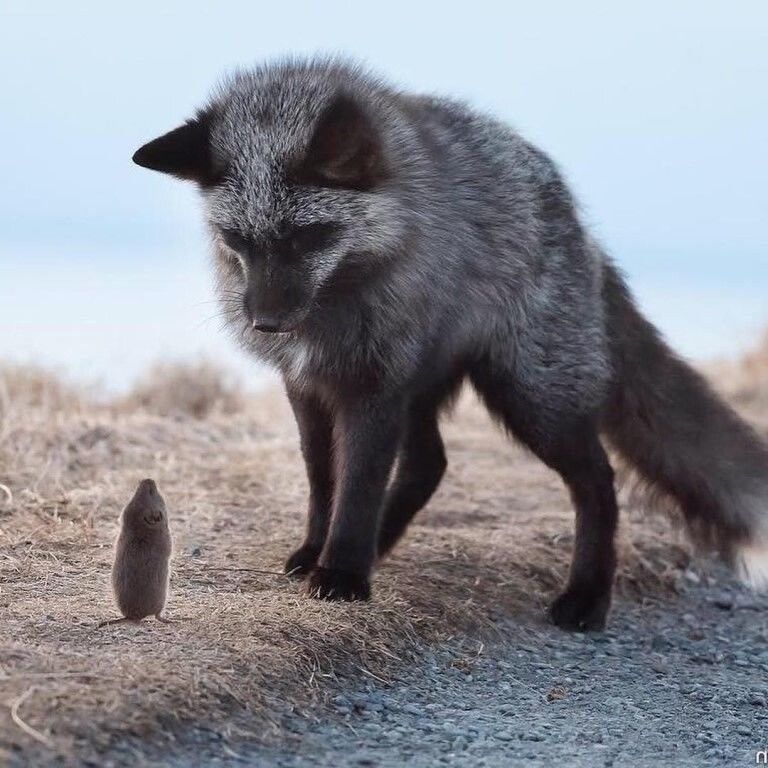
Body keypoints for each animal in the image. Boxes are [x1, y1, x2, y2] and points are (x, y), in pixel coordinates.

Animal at [134, 55, 768, 632]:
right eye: (237, 238)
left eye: (307, 237)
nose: (266, 324)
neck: (339, 302)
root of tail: (582, 228)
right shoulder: (309, 385)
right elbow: (325, 482)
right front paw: (322, 552)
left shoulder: (374, 386)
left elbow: (358, 486)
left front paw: (342, 575)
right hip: (434, 390)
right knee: (429, 465)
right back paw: (378, 546)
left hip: (531, 398)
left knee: (599, 482)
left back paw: (586, 597)